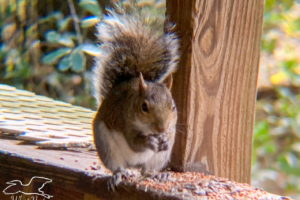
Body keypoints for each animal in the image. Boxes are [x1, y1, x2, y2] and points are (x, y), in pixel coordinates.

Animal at [92, 7, 179, 190]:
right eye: (144, 107)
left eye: (173, 107)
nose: (161, 128)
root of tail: (133, 165)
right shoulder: (125, 121)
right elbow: (134, 143)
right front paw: (149, 141)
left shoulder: (171, 129)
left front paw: (164, 140)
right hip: (107, 147)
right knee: (117, 166)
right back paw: (118, 175)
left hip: (157, 159)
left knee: (146, 170)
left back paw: (156, 175)